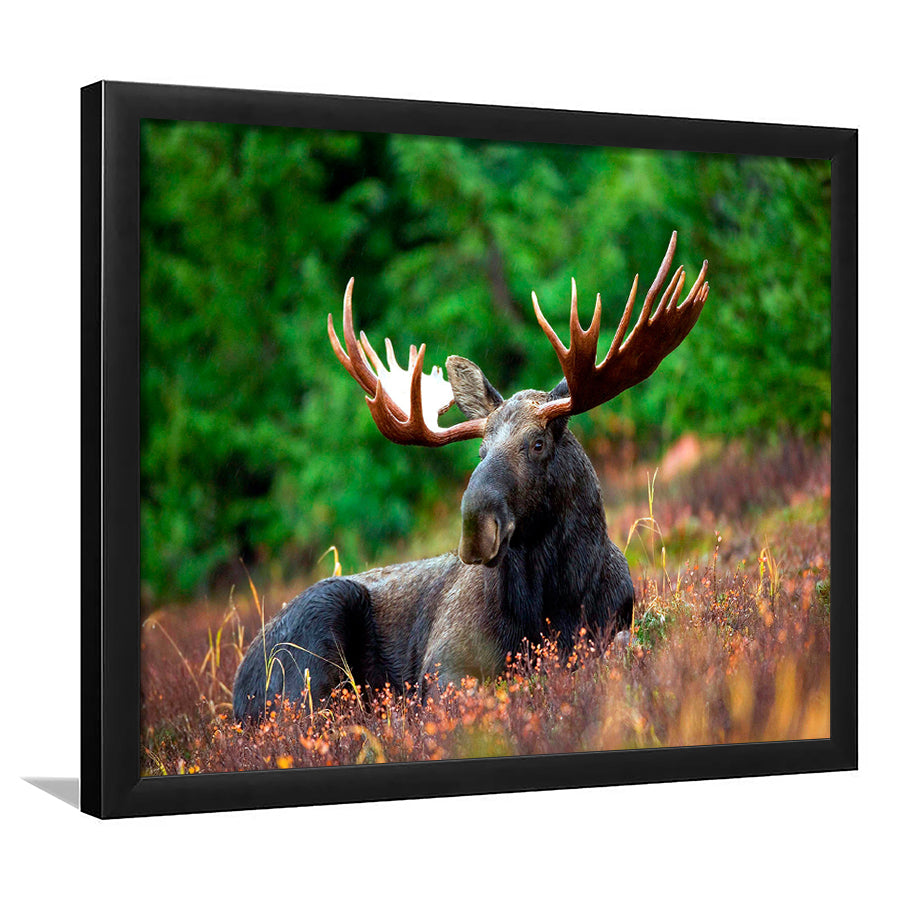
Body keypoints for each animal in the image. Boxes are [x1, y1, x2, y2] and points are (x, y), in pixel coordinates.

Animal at [233, 232, 709, 723]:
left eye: (538, 443)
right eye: (481, 451)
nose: (476, 527)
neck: (553, 600)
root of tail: (237, 690)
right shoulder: (445, 662)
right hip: (316, 639)